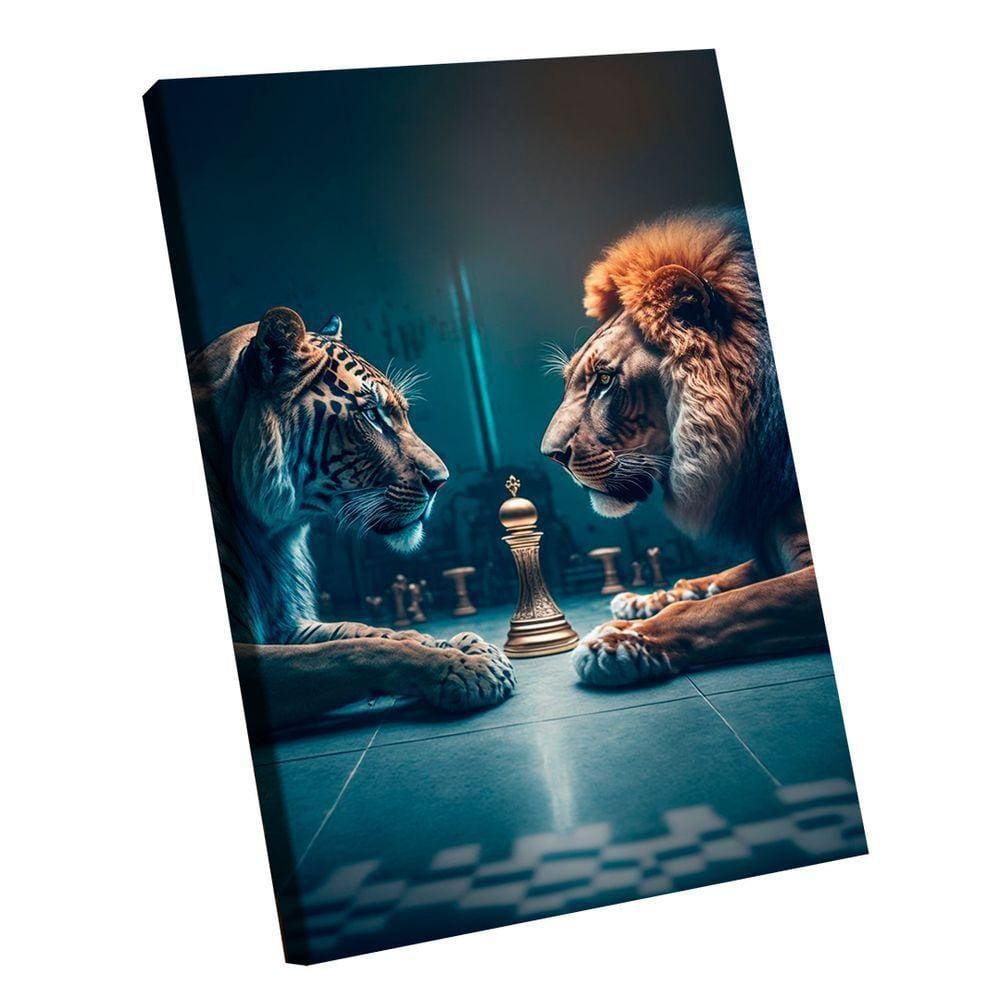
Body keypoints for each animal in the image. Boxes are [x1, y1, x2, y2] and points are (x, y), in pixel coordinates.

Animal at [187, 306, 515, 736]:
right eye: (371, 416)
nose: (441, 481)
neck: (269, 533)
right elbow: (355, 650)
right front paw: (461, 667)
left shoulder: (286, 625)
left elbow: (370, 630)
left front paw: (453, 643)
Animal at [540, 208, 828, 686]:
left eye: (605, 380)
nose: (549, 456)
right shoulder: (767, 546)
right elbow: (721, 579)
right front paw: (641, 601)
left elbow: (733, 603)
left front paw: (622, 640)